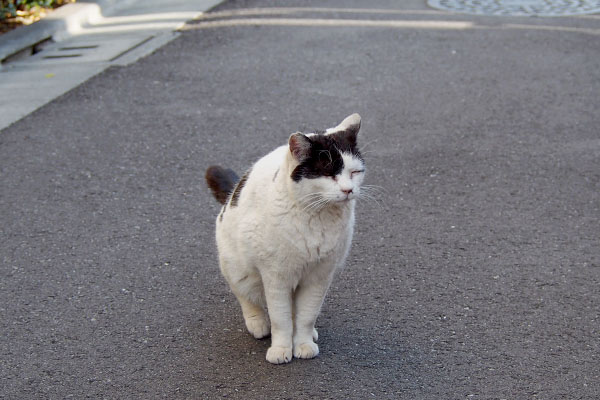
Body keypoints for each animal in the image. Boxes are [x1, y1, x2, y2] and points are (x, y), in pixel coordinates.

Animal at [206, 113, 366, 366]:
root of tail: (233, 192)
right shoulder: (275, 276)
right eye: (329, 174)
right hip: (238, 269)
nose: (349, 190)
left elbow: (306, 315)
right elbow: (280, 318)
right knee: (248, 298)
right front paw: (281, 349)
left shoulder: (320, 276)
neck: (317, 218)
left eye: (355, 172)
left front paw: (303, 343)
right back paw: (258, 324)